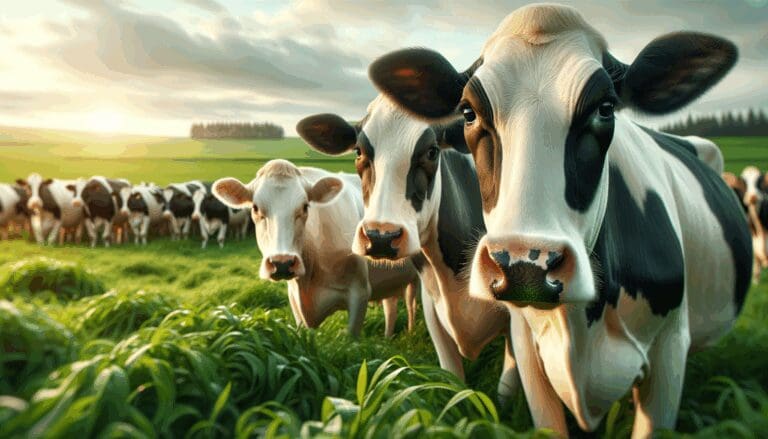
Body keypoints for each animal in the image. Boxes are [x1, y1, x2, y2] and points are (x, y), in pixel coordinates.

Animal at [212, 159, 421, 338]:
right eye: (255, 208)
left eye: (305, 207)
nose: (282, 263)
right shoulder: (295, 302)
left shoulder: (360, 293)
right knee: (391, 307)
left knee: (411, 305)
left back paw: (411, 334)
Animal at [296, 96, 518, 404]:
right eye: (358, 151)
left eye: (432, 151)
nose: (380, 237)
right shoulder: (433, 304)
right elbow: (455, 381)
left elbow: (506, 393)